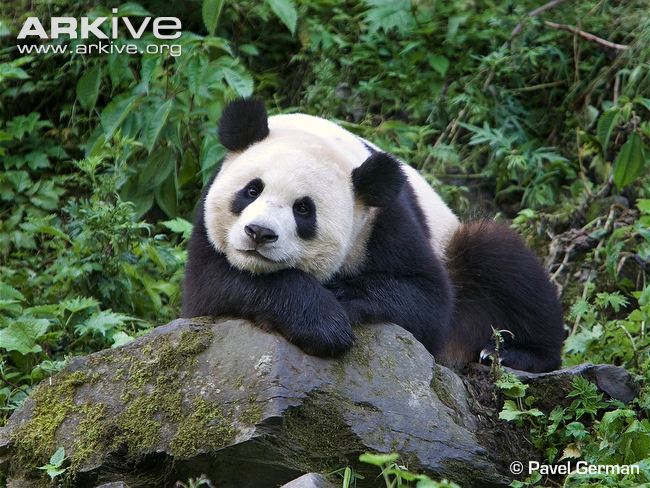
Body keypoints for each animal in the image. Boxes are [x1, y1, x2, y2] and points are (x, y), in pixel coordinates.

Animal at [181, 99, 560, 374]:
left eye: (303, 210)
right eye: (252, 190)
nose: (259, 233)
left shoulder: (384, 219)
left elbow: (427, 299)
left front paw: (339, 297)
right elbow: (214, 284)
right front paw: (322, 322)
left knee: (498, 258)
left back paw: (511, 355)